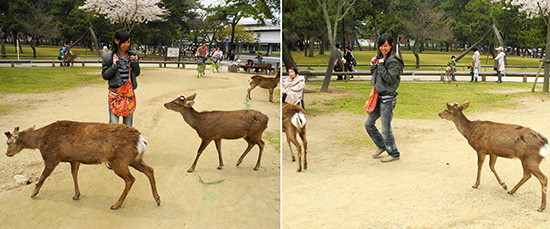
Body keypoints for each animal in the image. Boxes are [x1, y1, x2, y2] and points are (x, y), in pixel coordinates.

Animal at [3, 121, 162, 210]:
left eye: (8, 142)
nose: (7, 154)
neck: (40, 141)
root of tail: (141, 140)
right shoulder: (74, 159)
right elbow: (74, 174)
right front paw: (76, 195)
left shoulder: (52, 157)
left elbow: (43, 176)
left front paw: (33, 193)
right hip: (134, 159)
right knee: (150, 170)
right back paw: (158, 199)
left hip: (118, 161)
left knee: (130, 179)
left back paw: (116, 204)